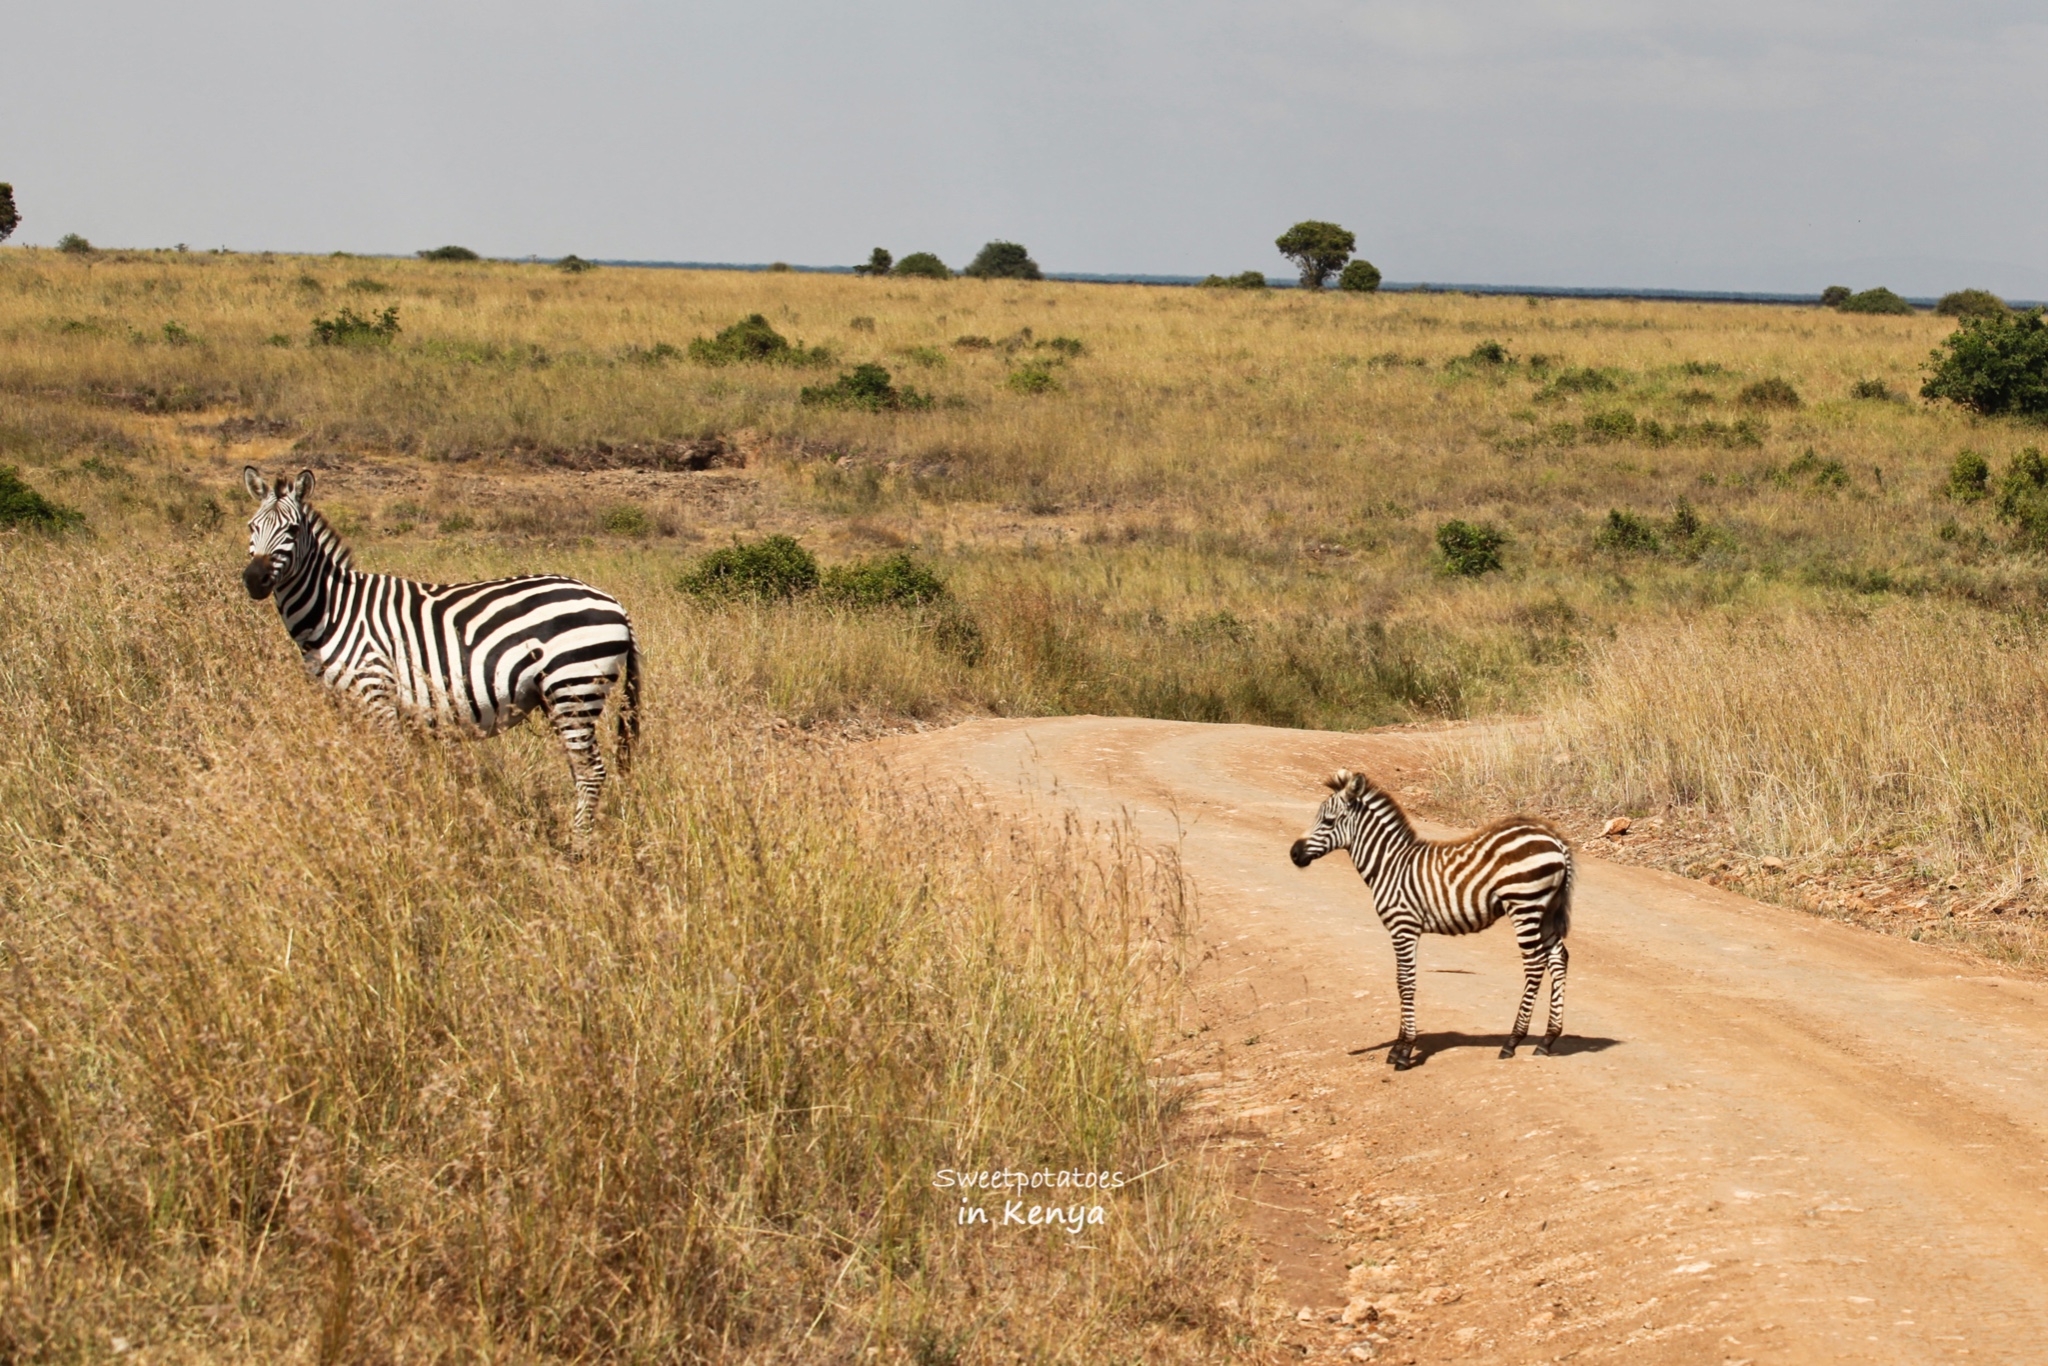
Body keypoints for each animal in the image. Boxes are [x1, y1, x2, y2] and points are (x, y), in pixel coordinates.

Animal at [241, 464, 638, 839]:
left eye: (292, 531)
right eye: (251, 527)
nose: (254, 580)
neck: (334, 608)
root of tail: (614, 602)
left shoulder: (376, 692)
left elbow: (393, 768)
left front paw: (397, 824)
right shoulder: (345, 704)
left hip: (574, 688)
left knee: (591, 772)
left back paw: (578, 847)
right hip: (562, 699)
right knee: (580, 770)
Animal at [1286, 770, 1572, 1064]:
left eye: (1328, 821)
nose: (1294, 854)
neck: (1388, 865)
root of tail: (1554, 839)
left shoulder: (1403, 927)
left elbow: (1405, 982)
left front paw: (1404, 1050)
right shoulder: (1406, 929)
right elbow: (1404, 980)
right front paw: (1399, 1045)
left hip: (1524, 904)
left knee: (1535, 964)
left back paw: (1512, 1041)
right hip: (1547, 910)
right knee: (1558, 959)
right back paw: (1547, 1039)